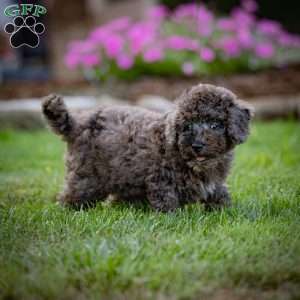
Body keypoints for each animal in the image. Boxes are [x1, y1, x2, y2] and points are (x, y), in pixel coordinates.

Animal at [41, 83, 253, 212]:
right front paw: (173, 220)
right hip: (87, 174)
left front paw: (225, 211)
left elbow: (220, 193)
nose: (197, 145)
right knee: (73, 194)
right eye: (187, 126)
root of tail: (77, 123)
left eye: (215, 125)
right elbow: (167, 201)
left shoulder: (215, 181)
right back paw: (68, 211)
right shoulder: (162, 179)